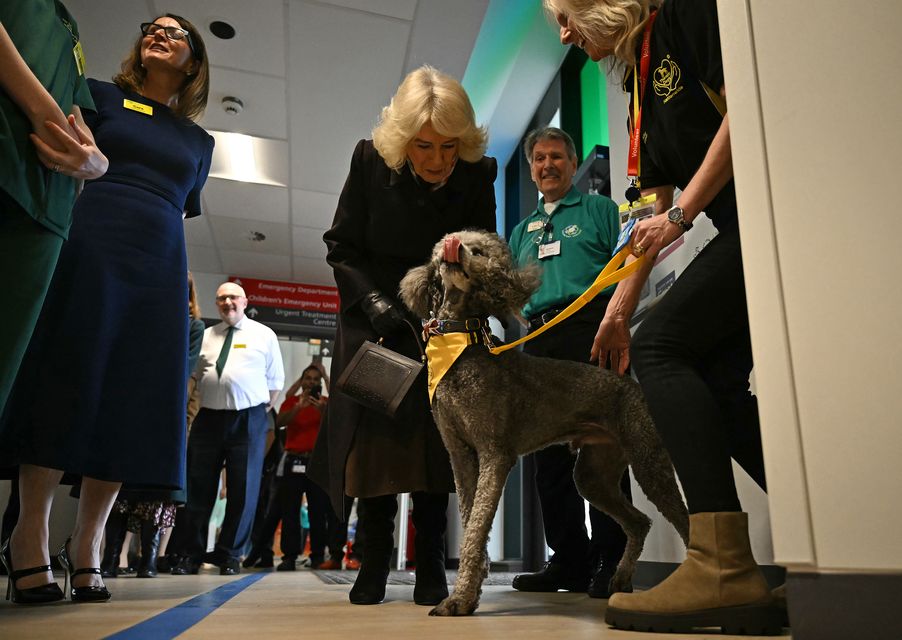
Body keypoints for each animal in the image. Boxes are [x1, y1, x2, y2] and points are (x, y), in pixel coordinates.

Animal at [400, 229, 688, 616]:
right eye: (447, 242)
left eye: (478, 251)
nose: (454, 248)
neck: (462, 346)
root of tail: (631, 384)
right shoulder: (459, 455)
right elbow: (469, 517)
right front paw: (470, 589)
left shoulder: (495, 454)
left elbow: (476, 527)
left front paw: (459, 598)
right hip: (593, 475)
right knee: (640, 522)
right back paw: (620, 580)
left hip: (647, 458)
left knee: (684, 519)